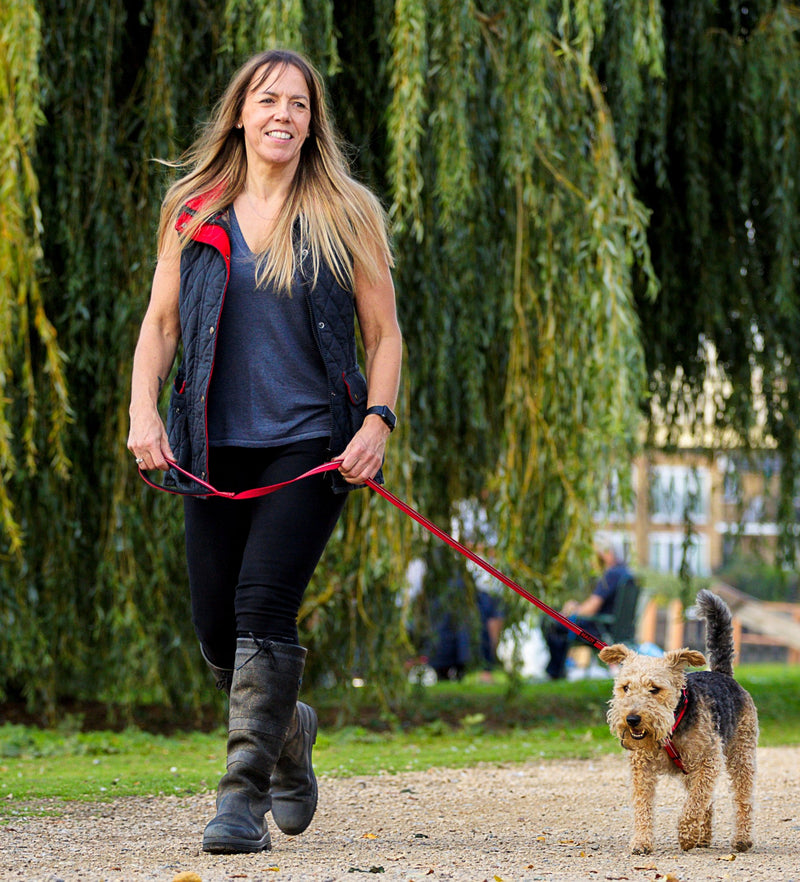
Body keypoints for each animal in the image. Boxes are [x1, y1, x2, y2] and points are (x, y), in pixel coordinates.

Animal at [600, 592, 756, 852]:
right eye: (625, 687)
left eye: (655, 689)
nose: (632, 719)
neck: (671, 728)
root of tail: (722, 673)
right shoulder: (642, 767)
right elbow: (643, 806)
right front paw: (642, 841)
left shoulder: (707, 761)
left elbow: (694, 803)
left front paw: (686, 835)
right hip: (691, 769)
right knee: (708, 801)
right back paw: (703, 837)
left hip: (741, 753)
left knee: (742, 796)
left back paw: (741, 839)